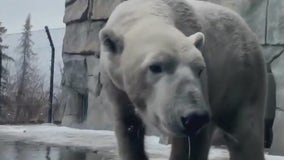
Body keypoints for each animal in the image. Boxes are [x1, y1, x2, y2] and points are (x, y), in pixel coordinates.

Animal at [98, 0, 266, 160]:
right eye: (155, 67)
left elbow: (191, 143)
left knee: (246, 133)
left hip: (242, 79)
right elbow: (128, 127)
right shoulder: (115, 85)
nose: (194, 117)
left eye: (200, 69)